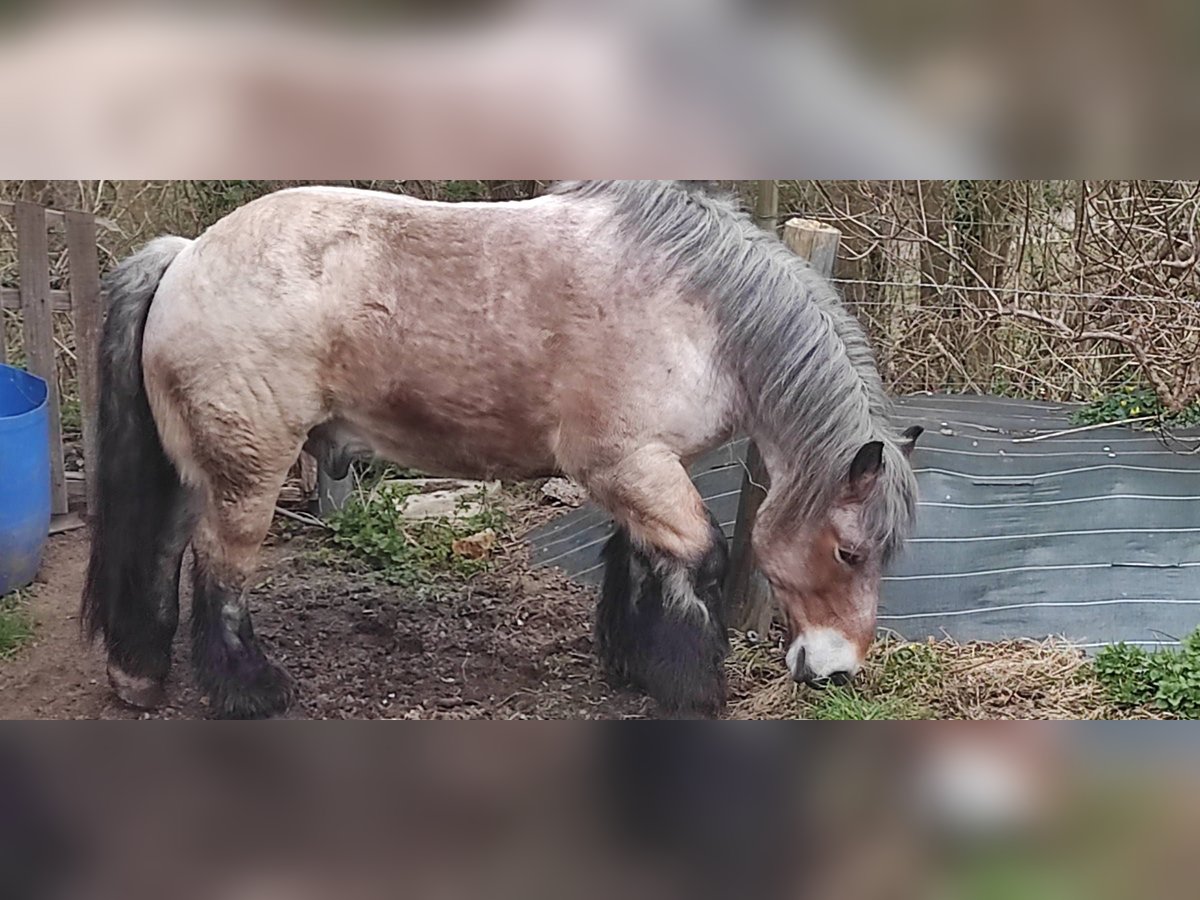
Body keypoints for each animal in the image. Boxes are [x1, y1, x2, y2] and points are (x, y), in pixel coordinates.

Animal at [79, 181, 921, 720]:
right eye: (849, 552)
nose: (837, 671)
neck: (699, 312)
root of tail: (188, 254)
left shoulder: (640, 468)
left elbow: (639, 559)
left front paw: (634, 666)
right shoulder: (630, 465)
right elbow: (699, 559)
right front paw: (691, 685)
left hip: (197, 466)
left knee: (162, 550)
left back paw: (139, 676)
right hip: (249, 472)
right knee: (219, 568)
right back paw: (248, 690)